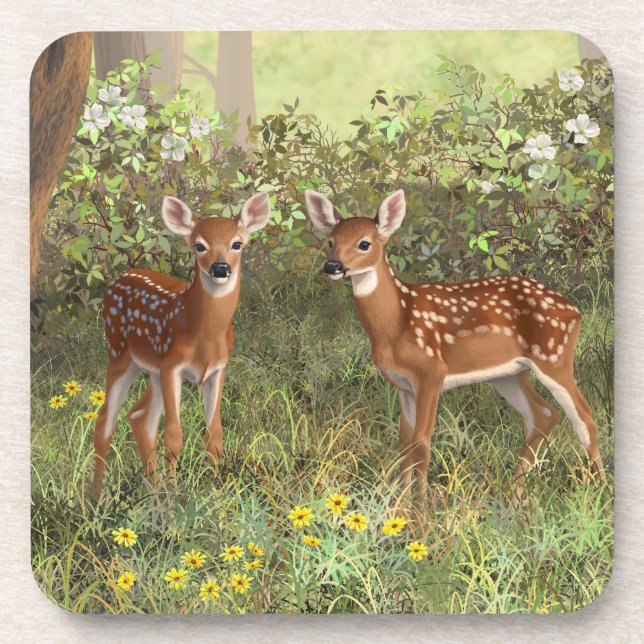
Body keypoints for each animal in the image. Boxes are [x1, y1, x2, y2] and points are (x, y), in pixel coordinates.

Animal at [91, 192, 271, 499]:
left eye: (237, 244)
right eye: (199, 245)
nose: (220, 268)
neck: (205, 336)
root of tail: (118, 279)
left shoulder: (217, 370)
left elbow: (214, 433)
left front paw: (217, 489)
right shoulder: (172, 366)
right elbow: (174, 434)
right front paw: (176, 497)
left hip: (152, 369)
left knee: (140, 417)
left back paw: (153, 493)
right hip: (119, 353)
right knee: (106, 421)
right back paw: (95, 498)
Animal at [304, 188, 606, 501]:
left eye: (364, 243)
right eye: (331, 242)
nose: (332, 266)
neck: (396, 323)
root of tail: (575, 311)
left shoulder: (431, 371)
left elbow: (422, 443)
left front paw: (421, 510)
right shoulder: (403, 385)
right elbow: (404, 446)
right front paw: (399, 506)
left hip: (554, 357)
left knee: (585, 417)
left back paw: (600, 489)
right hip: (509, 374)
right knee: (543, 414)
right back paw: (511, 494)